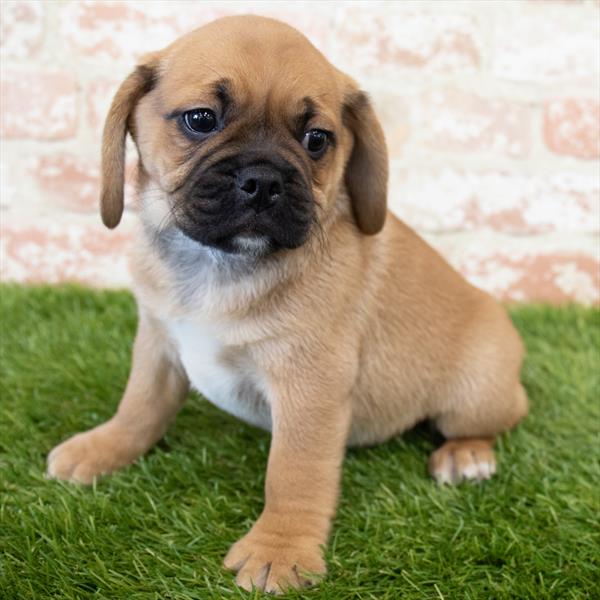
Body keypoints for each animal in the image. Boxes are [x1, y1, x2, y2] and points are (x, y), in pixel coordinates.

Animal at [47, 16, 528, 592]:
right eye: (201, 120)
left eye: (317, 140)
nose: (264, 180)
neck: (218, 264)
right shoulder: (159, 343)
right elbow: (138, 406)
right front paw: (103, 449)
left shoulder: (309, 388)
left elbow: (294, 473)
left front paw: (281, 549)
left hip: (475, 394)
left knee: (503, 414)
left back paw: (467, 455)